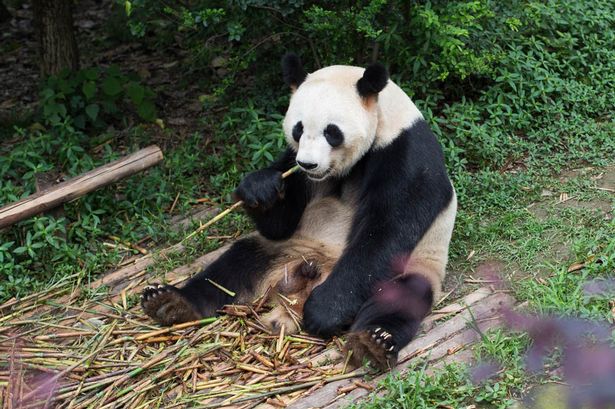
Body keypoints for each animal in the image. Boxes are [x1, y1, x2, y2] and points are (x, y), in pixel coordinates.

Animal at [141, 52, 458, 368]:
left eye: (332, 132)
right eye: (298, 129)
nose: (308, 163)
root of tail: (298, 290)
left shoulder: (405, 153)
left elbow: (387, 229)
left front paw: (324, 311)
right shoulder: (294, 168)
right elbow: (280, 222)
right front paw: (260, 189)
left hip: (412, 268)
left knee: (400, 298)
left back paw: (372, 342)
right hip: (285, 251)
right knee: (233, 266)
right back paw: (170, 302)